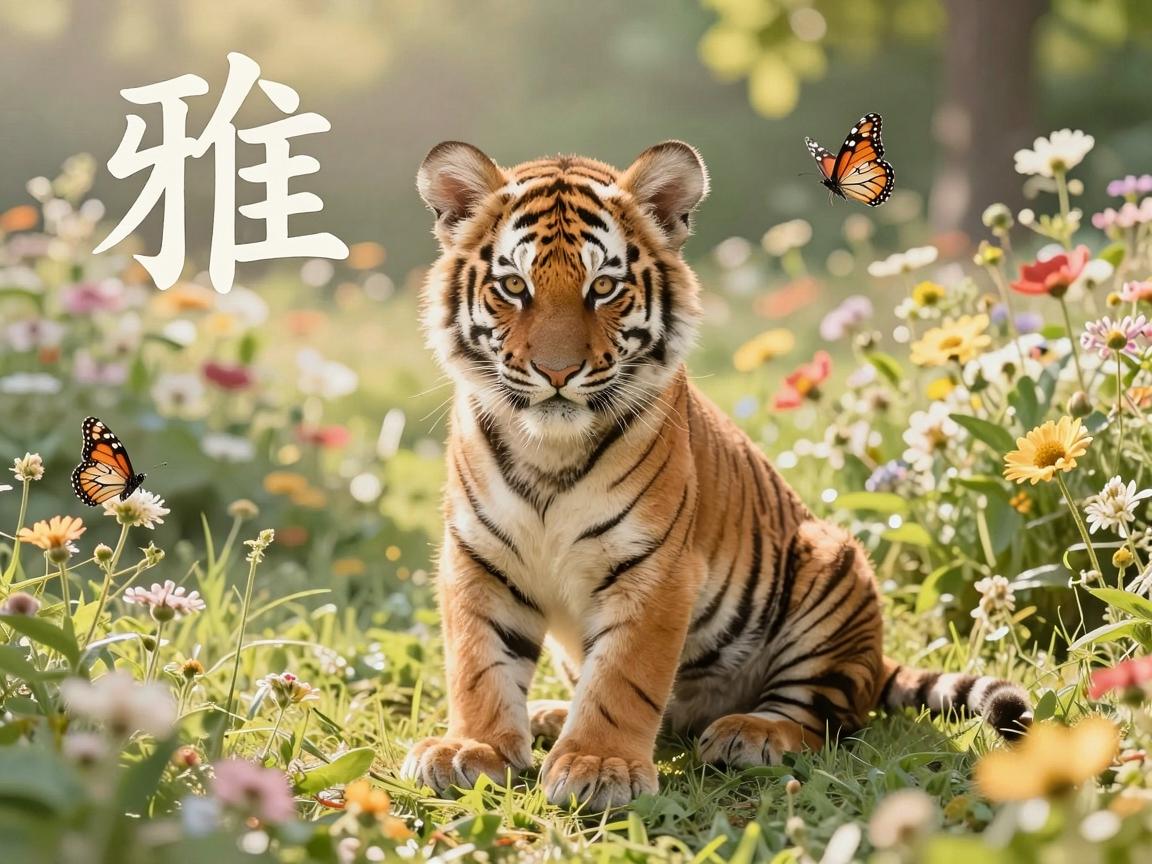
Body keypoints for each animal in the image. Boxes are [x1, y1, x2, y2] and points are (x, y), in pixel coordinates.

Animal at [401, 140, 1032, 809]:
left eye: (604, 287)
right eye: (514, 286)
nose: (557, 372)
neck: (548, 448)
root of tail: (876, 657)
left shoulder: (654, 569)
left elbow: (621, 677)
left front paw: (599, 764)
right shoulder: (477, 559)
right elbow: (479, 666)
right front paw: (472, 749)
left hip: (831, 567)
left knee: (827, 714)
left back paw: (750, 733)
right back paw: (550, 714)